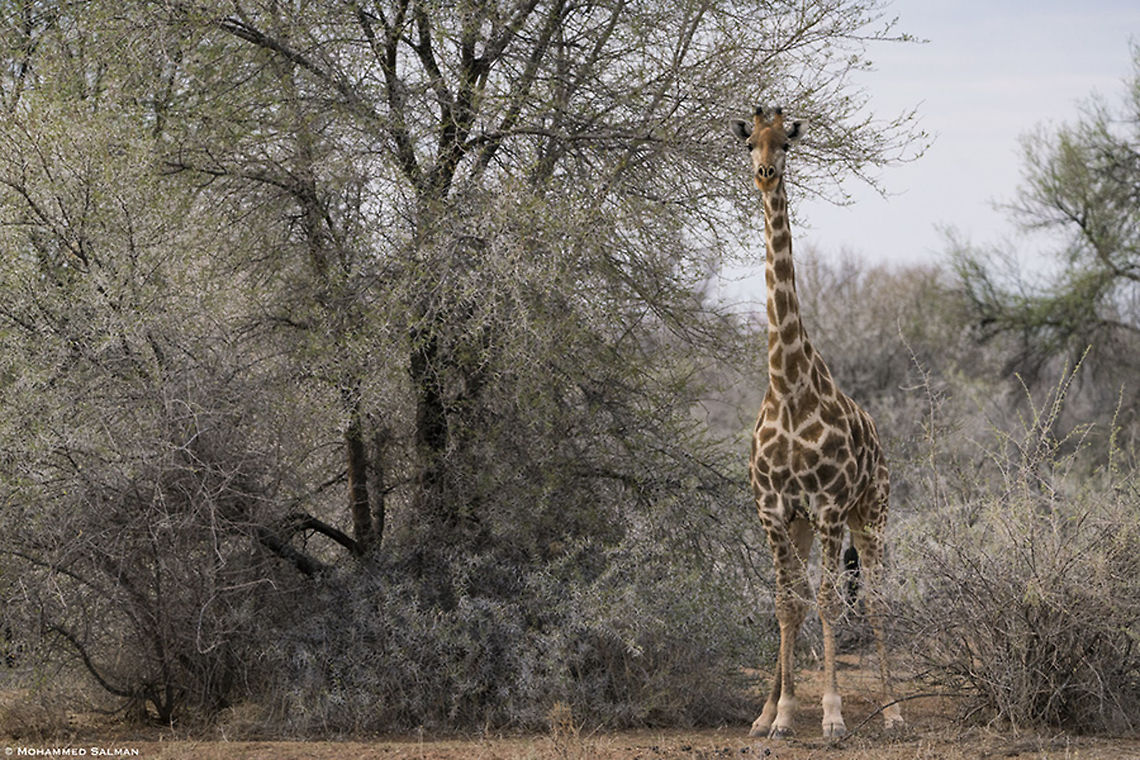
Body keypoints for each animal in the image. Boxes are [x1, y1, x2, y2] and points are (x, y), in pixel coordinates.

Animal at [729, 106, 905, 740]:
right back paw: (765, 711)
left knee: (875, 597)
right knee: (804, 598)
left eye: (785, 141)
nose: (765, 174)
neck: (788, 385)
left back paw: (892, 709)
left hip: (871, 511)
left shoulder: (829, 506)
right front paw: (777, 716)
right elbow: (788, 601)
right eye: (750, 143)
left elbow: (829, 599)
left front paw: (830, 715)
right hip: (806, 524)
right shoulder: (774, 508)